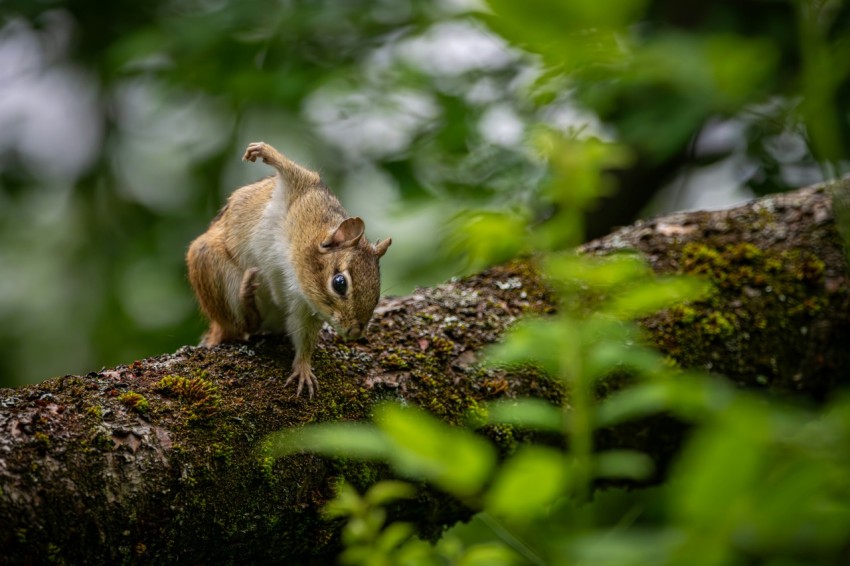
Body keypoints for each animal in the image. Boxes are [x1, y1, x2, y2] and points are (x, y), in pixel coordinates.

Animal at [186, 141, 392, 398]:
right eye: (339, 283)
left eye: (377, 294)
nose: (355, 332)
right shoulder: (301, 188)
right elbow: (291, 169)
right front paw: (264, 151)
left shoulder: (304, 308)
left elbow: (304, 337)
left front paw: (303, 368)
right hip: (208, 263)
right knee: (240, 326)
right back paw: (246, 295)